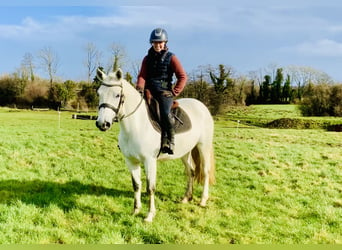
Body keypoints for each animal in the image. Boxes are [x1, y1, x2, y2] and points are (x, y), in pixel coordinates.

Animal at [95, 67, 215, 222]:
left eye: (117, 95)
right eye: (99, 93)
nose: (102, 124)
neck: (136, 125)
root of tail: (201, 106)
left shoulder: (150, 161)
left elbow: (150, 188)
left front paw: (149, 215)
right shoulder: (131, 161)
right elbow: (136, 185)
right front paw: (136, 210)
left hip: (203, 146)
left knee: (205, 171)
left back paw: (203, 200)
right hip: (185, 152)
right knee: (191, 172)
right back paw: (186, 198)